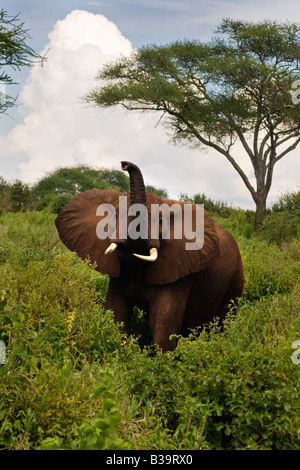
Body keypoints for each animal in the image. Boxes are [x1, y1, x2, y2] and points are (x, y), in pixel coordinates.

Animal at [55, 161, 244, 348]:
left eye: (160, 221)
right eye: (115, 216)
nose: (124, 164)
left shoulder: (182, 267)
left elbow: (164, 319)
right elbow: (115, 311)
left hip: (235, 279)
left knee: (224, 322)